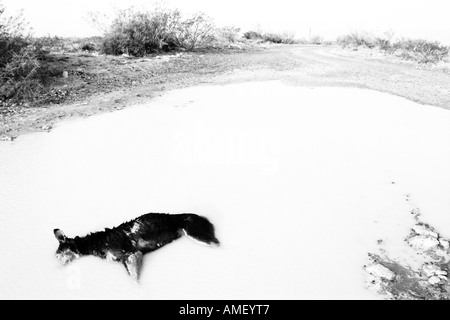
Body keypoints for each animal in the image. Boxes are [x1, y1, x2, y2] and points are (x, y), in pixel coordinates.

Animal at [53, 214, 219, 282]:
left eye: (59, 254)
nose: (56, 268)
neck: (95, 243)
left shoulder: (131, 254)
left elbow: (134, 279)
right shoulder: (127, 258)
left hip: (196, 235)